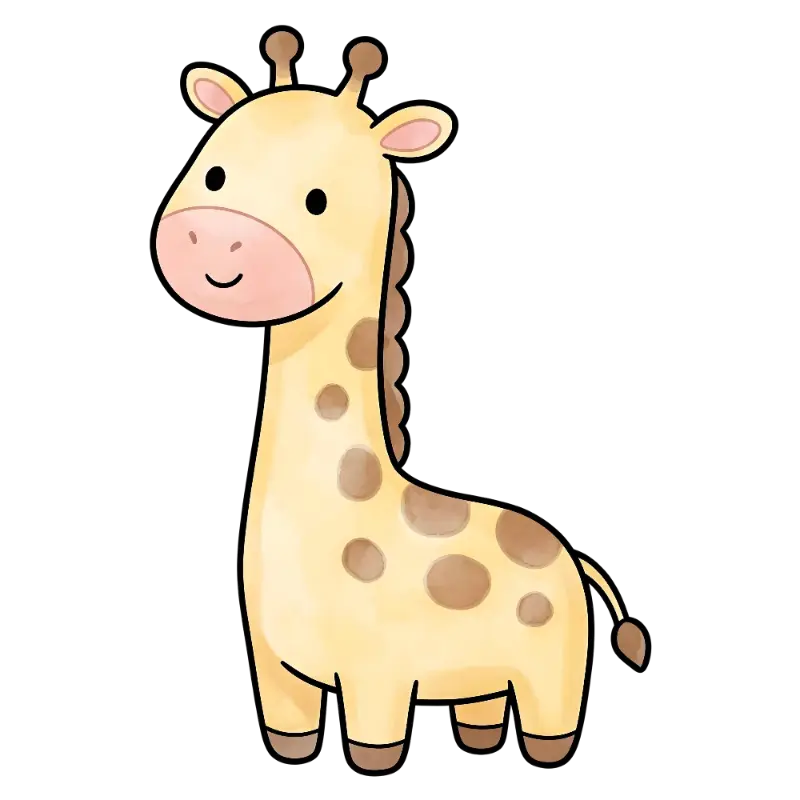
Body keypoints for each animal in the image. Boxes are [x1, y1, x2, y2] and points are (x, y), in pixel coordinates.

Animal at [153, 31, 649, 772]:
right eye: (212, 174)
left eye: (318, 199)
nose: (214, 239)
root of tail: (571, 555)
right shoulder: (273, 669)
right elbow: (289, 731)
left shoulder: (378, 673)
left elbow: (374, 744)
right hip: (483, 678)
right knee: (482, 708)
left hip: (552, 668)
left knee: (551, 721)